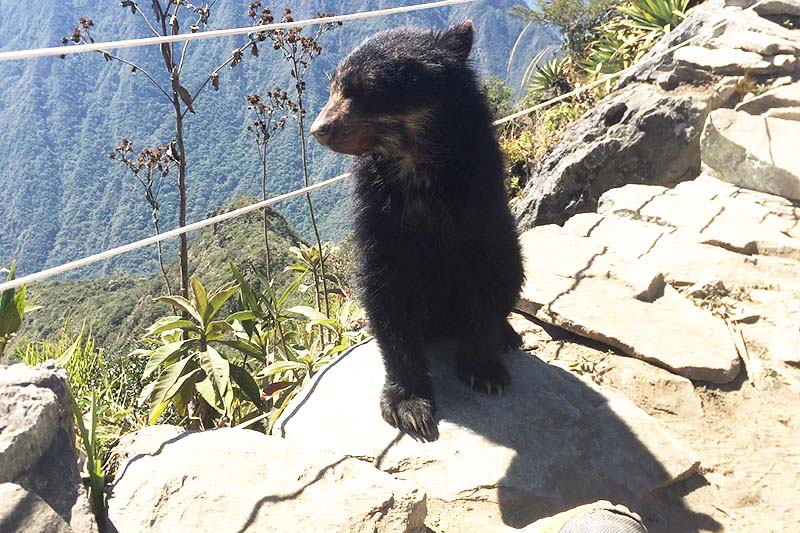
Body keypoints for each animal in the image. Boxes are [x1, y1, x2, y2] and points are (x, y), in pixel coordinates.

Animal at [310, 19, 520, 436]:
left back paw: (508, 336)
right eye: (334, 87)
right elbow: (385, 289)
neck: (416, 165)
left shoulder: (481, 195)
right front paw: (409, 405)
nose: (318, 128)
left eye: (365, 89)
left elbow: (487, 275)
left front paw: (485, 371)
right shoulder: (376, 208)